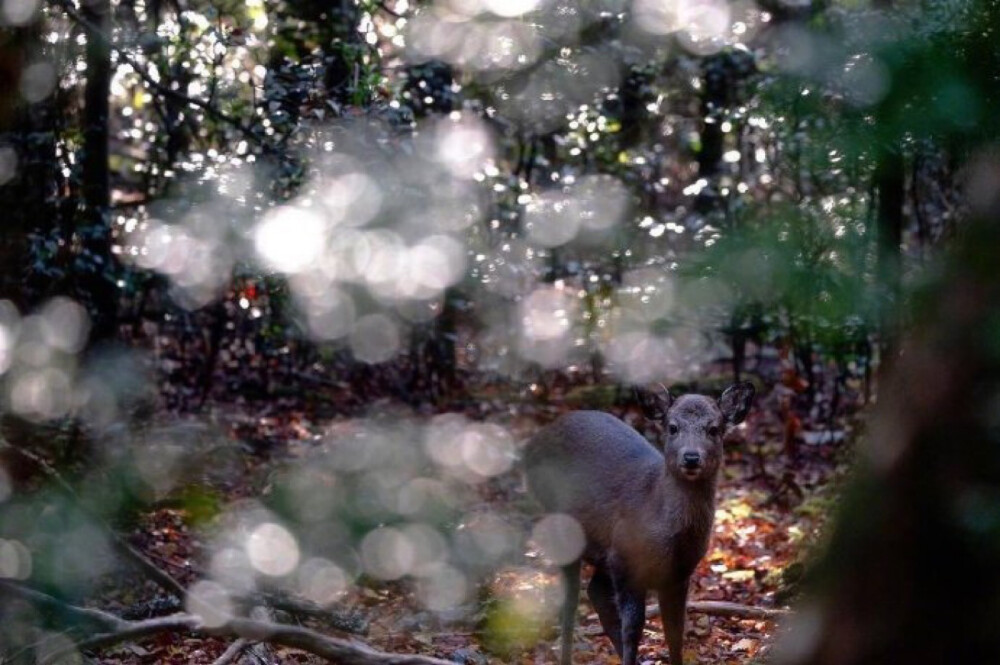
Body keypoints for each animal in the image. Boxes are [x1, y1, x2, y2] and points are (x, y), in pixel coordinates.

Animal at [528, 382, 752, 660]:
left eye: (714, 429)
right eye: (672, 427)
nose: (691, 457)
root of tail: (530, 446)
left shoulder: (679, 573)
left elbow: (675, 632)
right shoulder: (626, 560)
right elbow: (634, 628)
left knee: (595, 592)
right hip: (562, 523)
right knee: (570, 603)